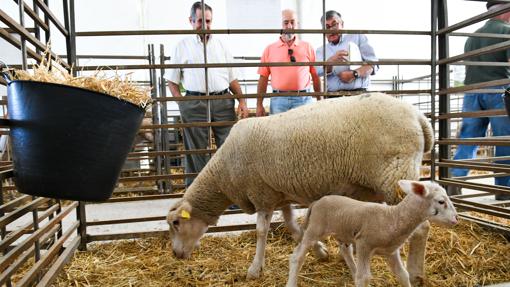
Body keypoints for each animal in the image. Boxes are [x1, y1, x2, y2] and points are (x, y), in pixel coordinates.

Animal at [166, 93, 434, 284]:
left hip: (397, 174)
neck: (223, 172)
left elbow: (262, 231)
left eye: (176, 223)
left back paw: (415, 272)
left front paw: (254, 268)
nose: (176, 255)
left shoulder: (261, 193)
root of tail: (420, 118)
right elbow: (294, 227)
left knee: (421, 227)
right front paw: (320, 251)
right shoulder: (280, 193)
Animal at [286, 180, 458, 287]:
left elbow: (402, 275)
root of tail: (316, 202)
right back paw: (291, 282)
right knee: (297, 257)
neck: (392, 217)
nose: (456, 219)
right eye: (441, 201)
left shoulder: (391, 252)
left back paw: (353, 271)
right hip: (315, 229)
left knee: (345, 251)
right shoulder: (364, 244)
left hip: (344, 232)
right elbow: (364, 278)